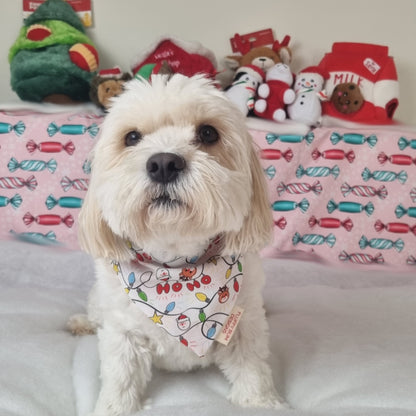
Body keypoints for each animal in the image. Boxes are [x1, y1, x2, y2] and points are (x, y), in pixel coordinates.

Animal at [70, 73, 284, 414]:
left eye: (208, 133)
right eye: (132, 137)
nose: (164, 163)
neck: (177, 269)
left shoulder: (244, 324)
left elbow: (252, 366)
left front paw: (260, 403)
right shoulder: (122, 332)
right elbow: (121, 375)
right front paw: (115, 408)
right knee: (94, 315)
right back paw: (81, 323)